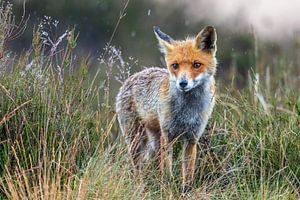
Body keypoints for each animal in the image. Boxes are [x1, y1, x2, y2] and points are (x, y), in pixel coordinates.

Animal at [116, 25, 217, 191]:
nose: (183, 83)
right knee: (138, 166)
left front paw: (186, 191)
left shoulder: (192, 137)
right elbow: (167, 169)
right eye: (175, 65)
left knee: (147, 162)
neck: (187, 111)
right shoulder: (168, 135)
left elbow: (188, 172)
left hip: (154, 142)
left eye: (196, 65)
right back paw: (140, 186)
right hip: (137, 139)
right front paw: (168, 186)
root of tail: (135, 75)